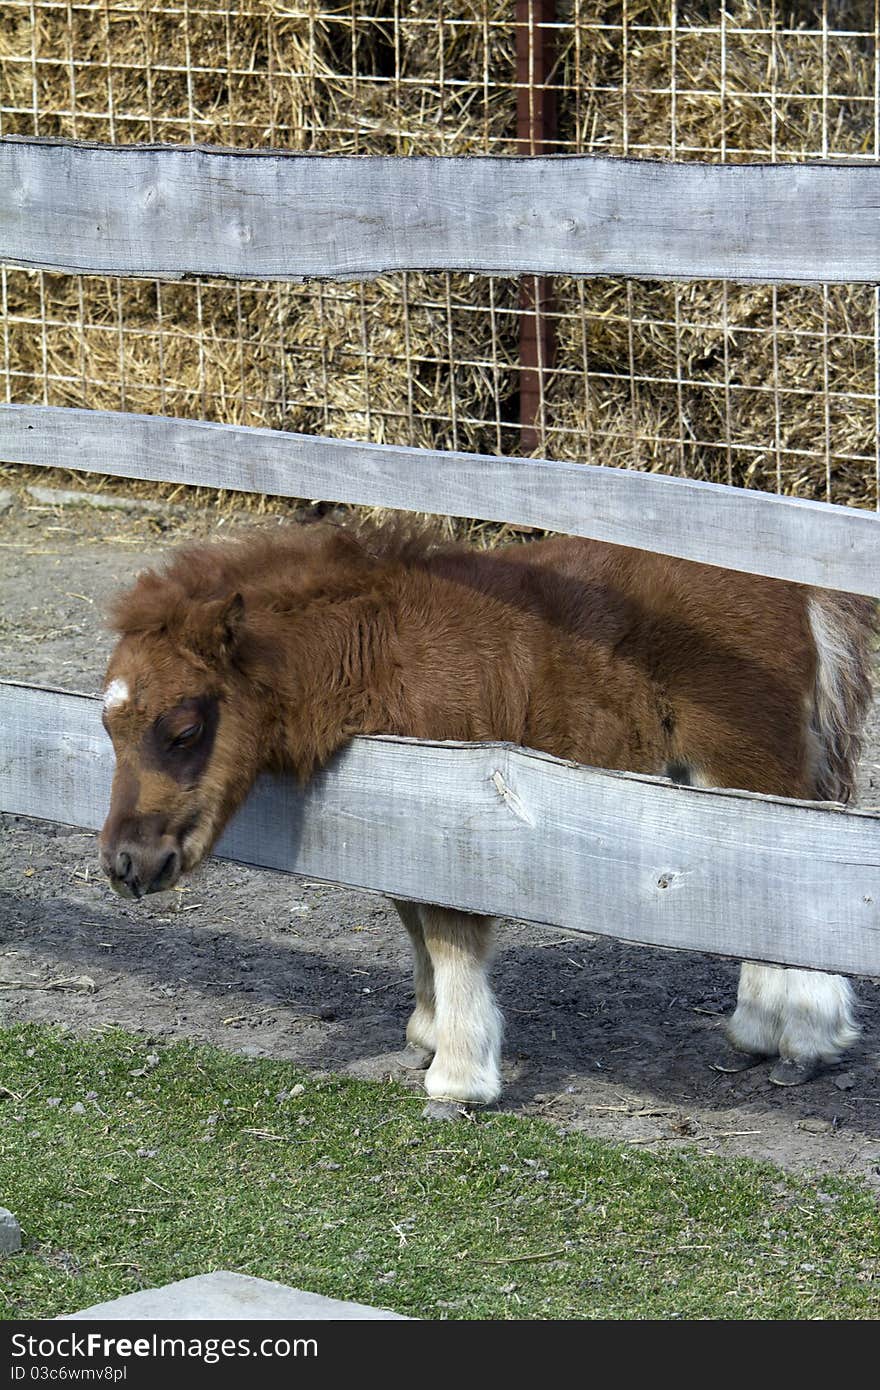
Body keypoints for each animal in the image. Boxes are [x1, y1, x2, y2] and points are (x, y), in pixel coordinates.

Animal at [99, 519, 873, 1106]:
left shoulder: (457, 820)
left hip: (750, 771)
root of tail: (794, 588)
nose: (127, 865)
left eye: (183, 729)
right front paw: (425, 1035)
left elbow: (449, 936)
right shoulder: (402, 820)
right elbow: (414, 922)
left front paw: (459, 1077)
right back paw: (762, 1036)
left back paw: (804, 1040)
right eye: (107, 726)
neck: (383, 655)